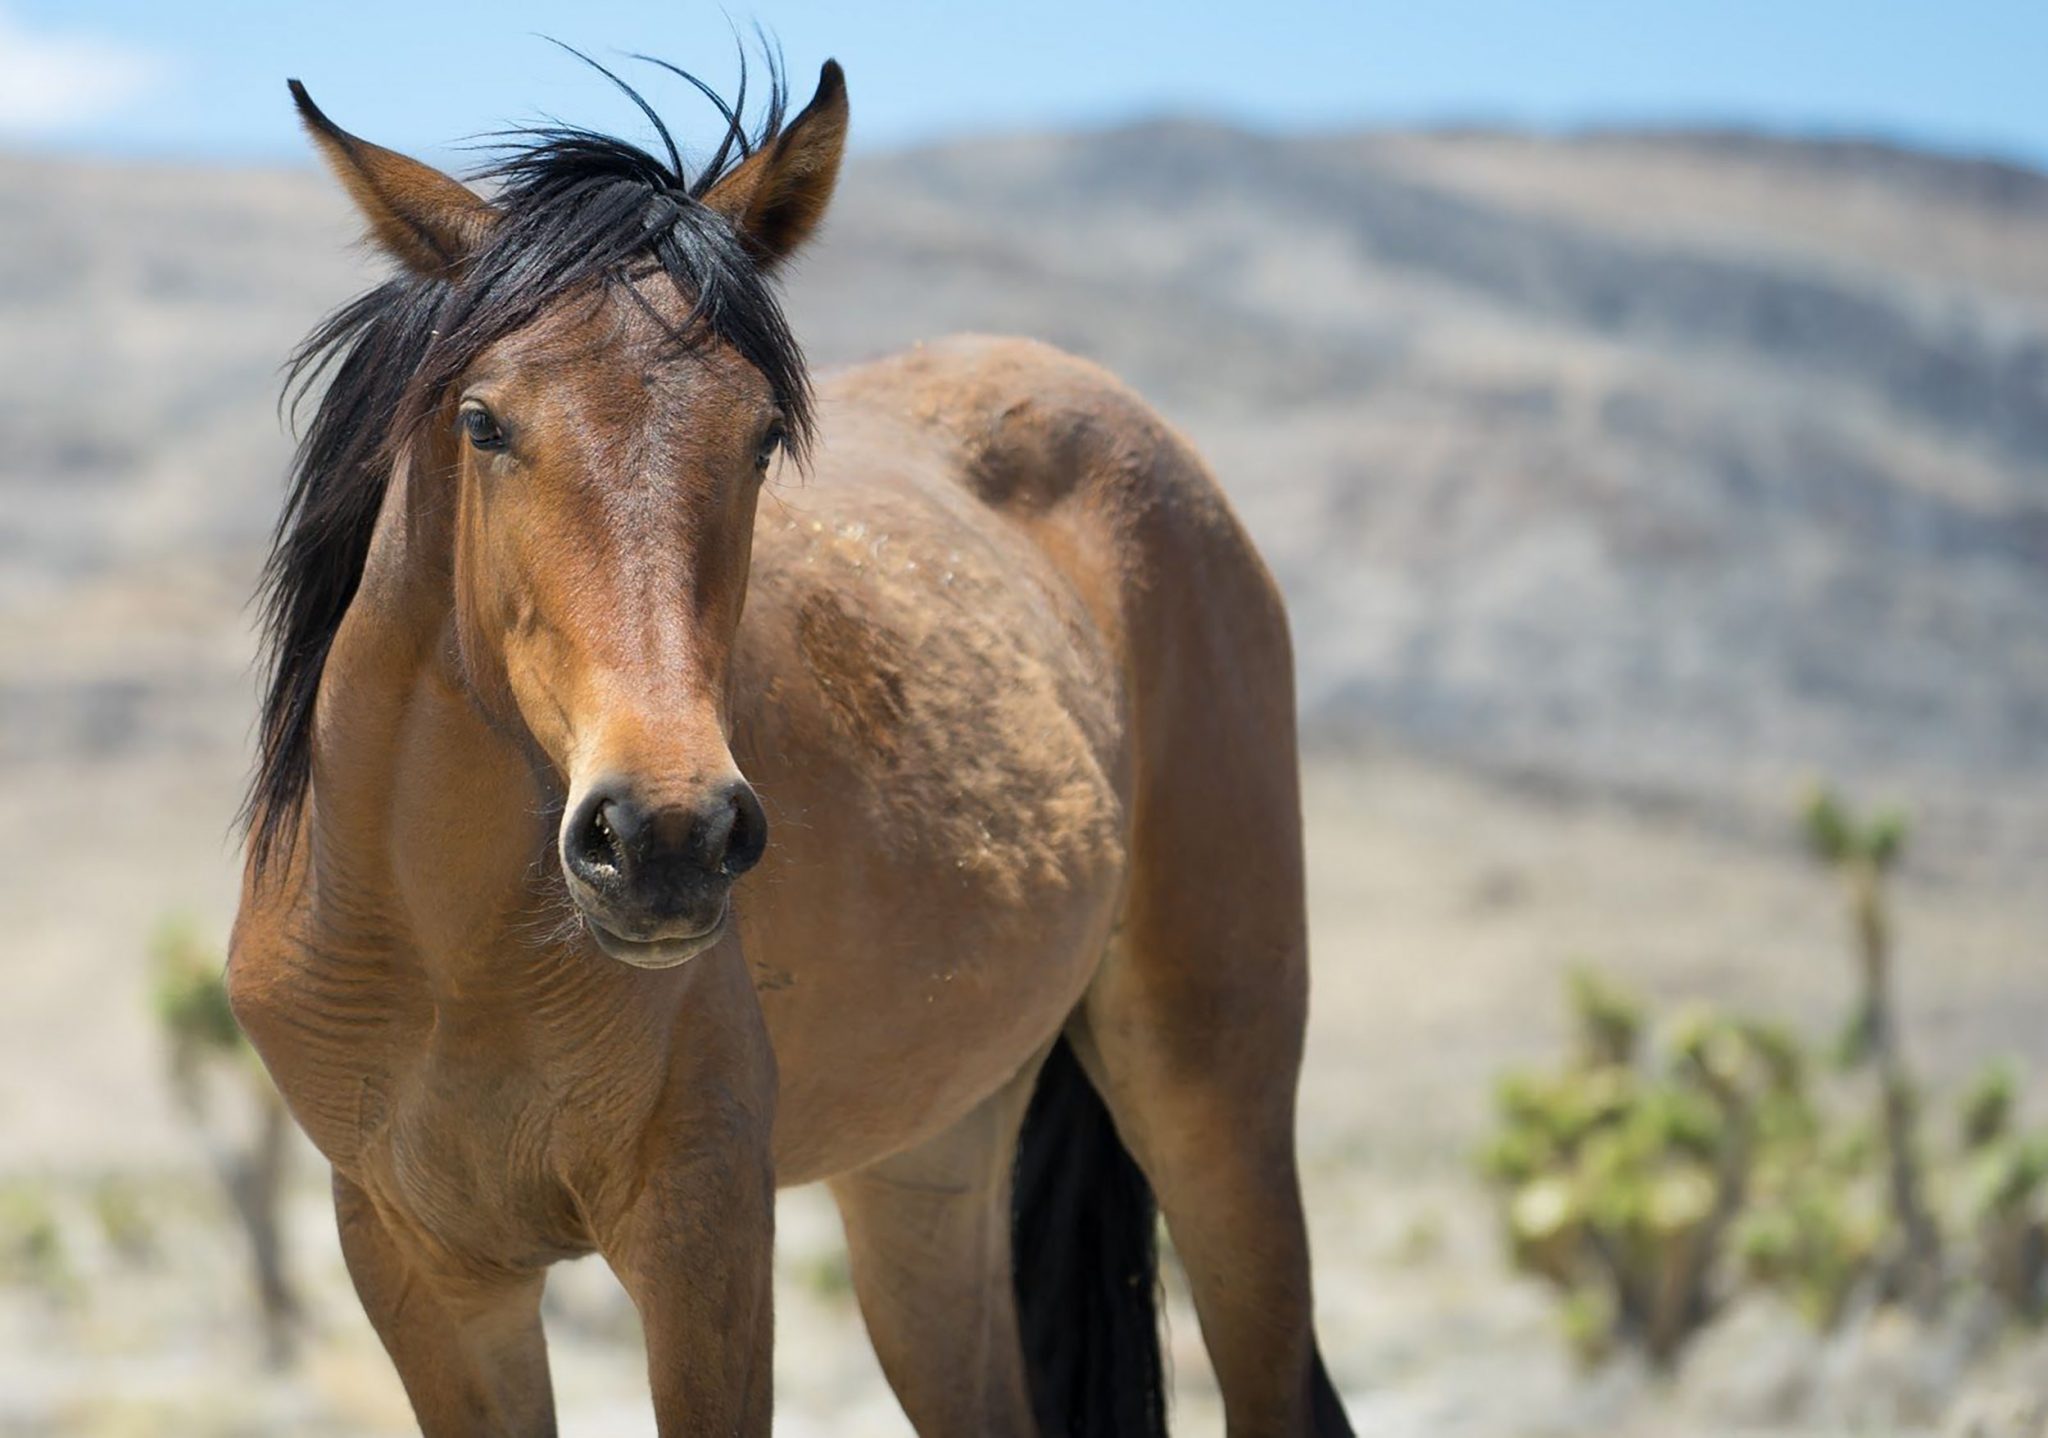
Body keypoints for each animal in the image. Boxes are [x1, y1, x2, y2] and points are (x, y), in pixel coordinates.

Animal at [226, 53, 1353, 1437]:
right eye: (483, 422)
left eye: (760, 434)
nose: (664, 838)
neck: (451, 959)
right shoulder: (422, 1271)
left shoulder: (703, 1230)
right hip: (928, 1165)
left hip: (1214, 1103)